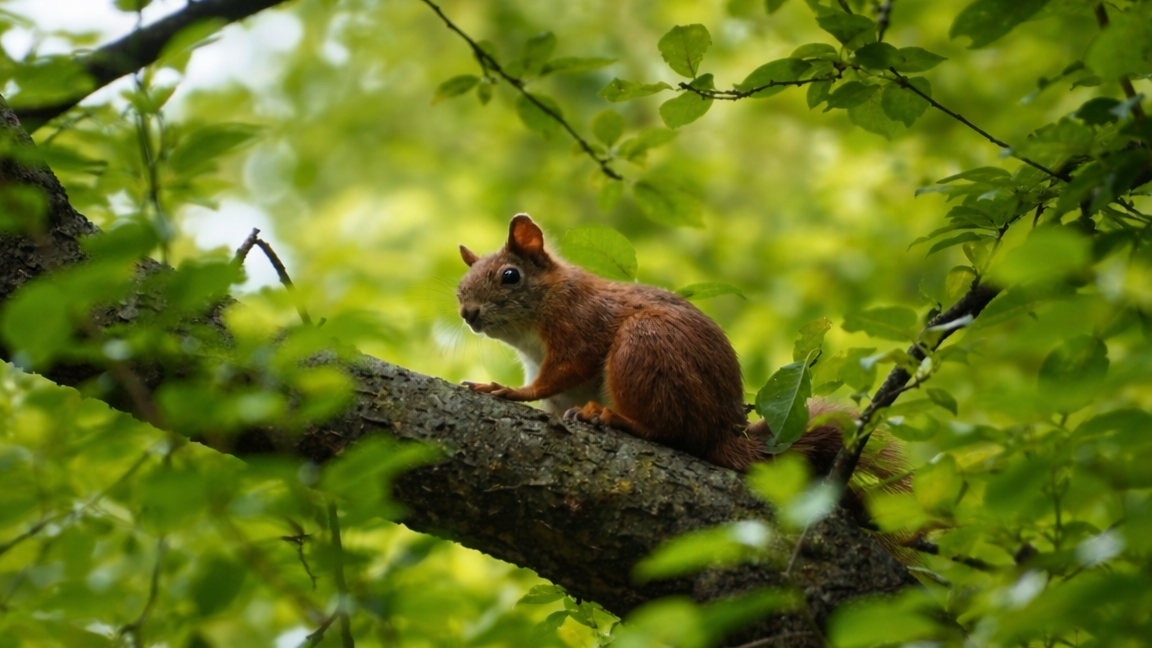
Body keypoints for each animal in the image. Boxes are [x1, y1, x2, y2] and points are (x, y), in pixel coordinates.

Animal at [456, 214, 905, 487]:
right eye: (461, 288)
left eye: (510, 276)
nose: (467, 313)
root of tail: (722, 430)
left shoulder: (581, 326)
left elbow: (559, 373)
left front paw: (509, 391)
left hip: (645, 347)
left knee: (674, 432)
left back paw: (611, 417)